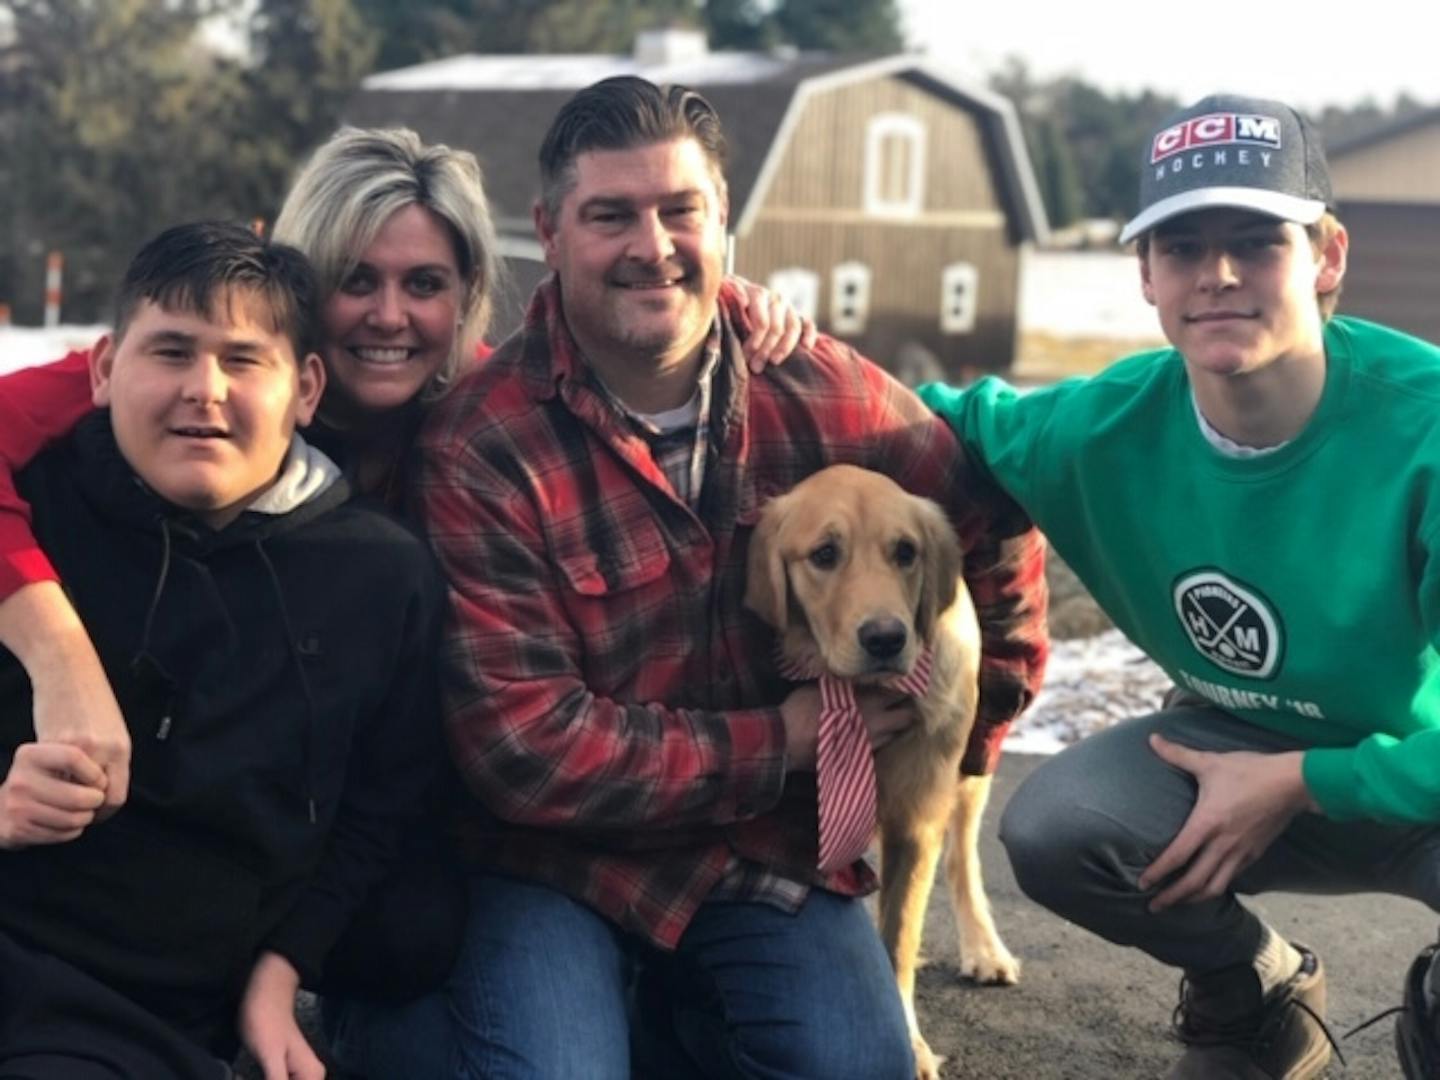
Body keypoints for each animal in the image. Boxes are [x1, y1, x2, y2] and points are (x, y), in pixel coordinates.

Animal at [748, 466, 1019, 1080]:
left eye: (905, 552)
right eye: (825, 554)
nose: (885, 638)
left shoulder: (915, 823)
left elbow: (897, 940)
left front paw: (911, 1047)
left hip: (969, 773)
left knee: (963, 860)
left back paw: (985, 949)